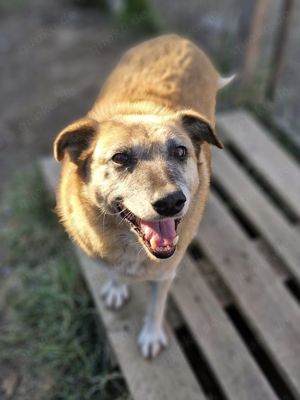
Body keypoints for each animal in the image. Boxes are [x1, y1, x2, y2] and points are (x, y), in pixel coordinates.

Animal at [54, 35, 234, 360]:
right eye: (120, 158)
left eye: (180, 151)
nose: (172, 202)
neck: (129, 242)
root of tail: (175, 37)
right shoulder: (101, 253)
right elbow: (113, 272)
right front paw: (116, 288)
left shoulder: (164, 275)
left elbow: (155, 307)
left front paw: (151, 336)